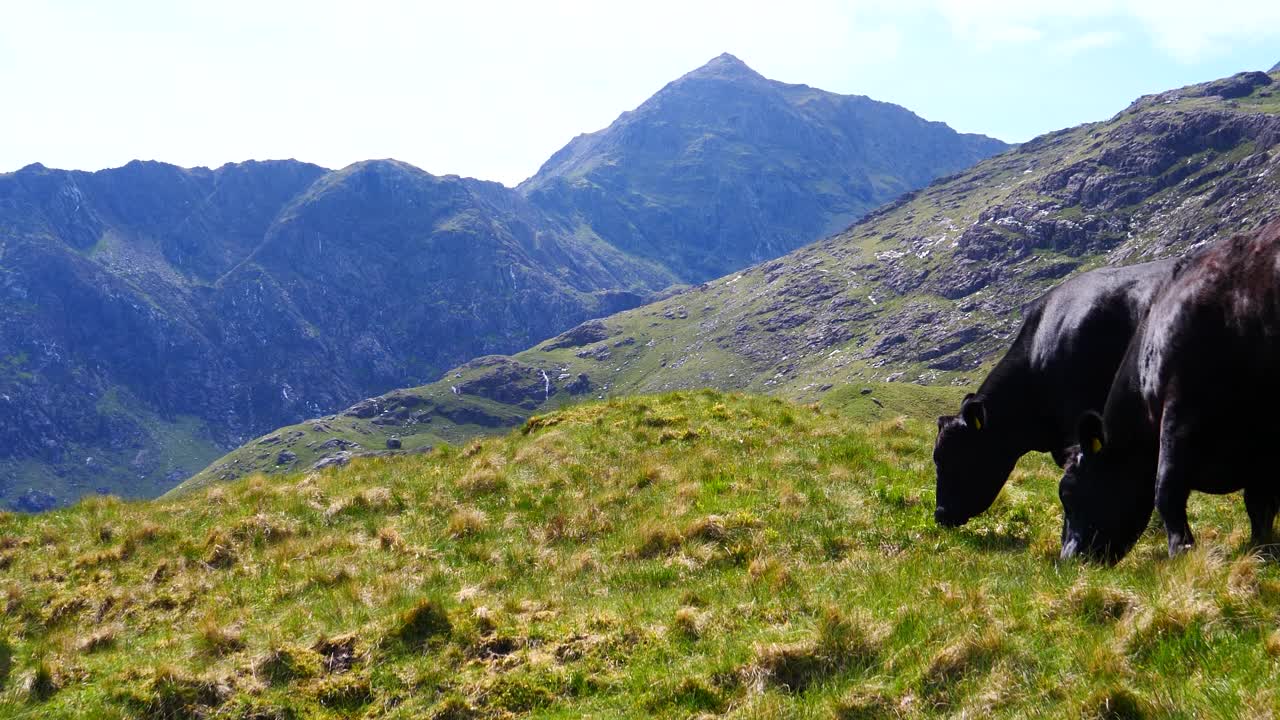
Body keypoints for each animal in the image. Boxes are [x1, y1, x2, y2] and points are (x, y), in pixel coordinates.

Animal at [1064, 221, 1280, 563]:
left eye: (1069, 494)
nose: (1067, 559)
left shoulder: (1181, 409)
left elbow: (1166, 487)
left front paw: (1181, 548)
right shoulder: (1261, 442)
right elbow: (1260, 503)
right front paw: (1260, 548)